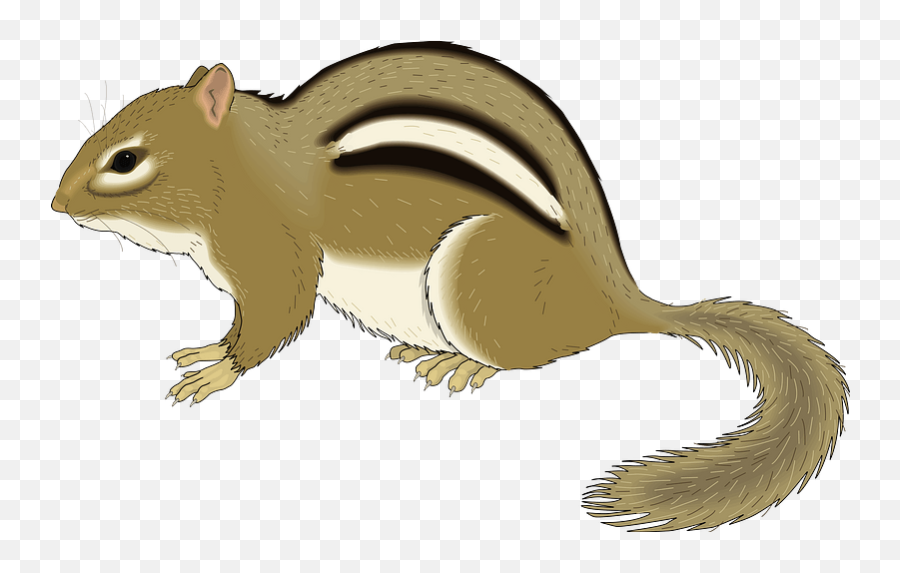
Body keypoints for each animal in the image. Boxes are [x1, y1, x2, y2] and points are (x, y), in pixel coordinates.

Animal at [51, 41, 849, 531]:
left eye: (126, 160)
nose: (55, 205)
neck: (244, 165)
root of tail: (613, 296)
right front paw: (213, 350)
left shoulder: (274, 254)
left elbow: (277, 316)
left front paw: (219, 368)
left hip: (476, 277)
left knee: (523, 359)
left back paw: (462, 364)